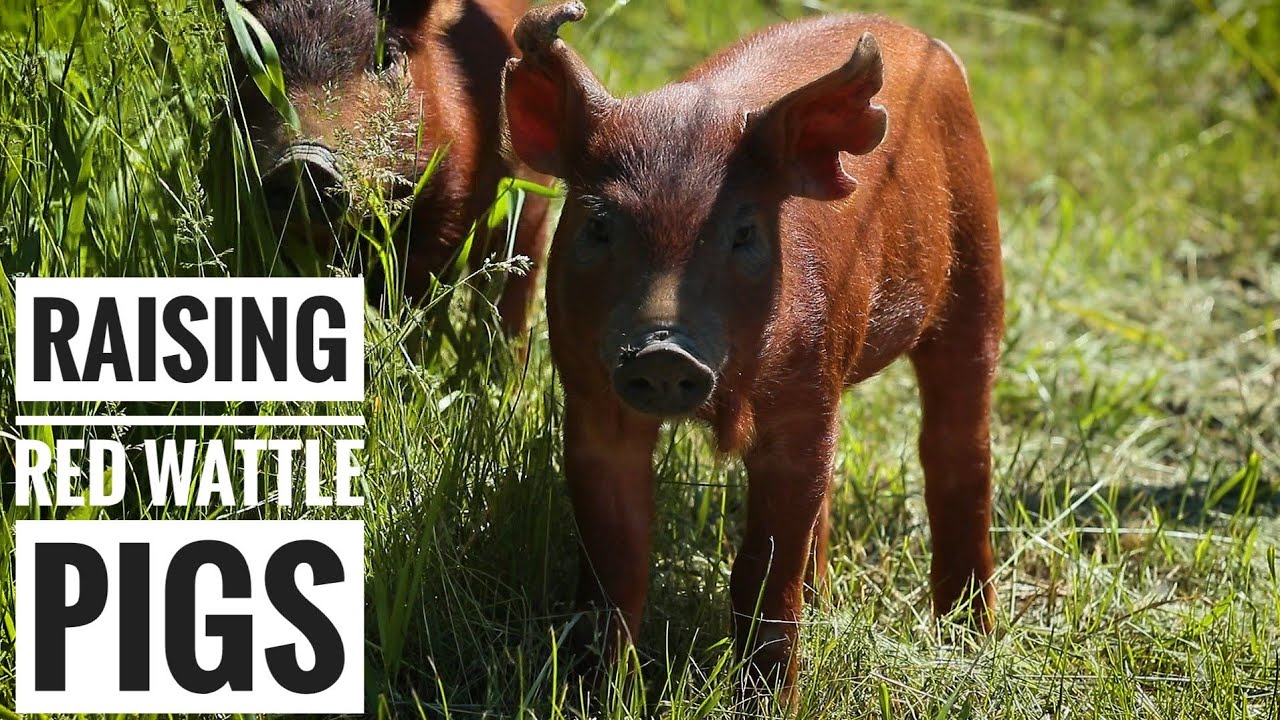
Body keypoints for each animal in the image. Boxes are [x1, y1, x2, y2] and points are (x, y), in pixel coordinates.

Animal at [503, 1, 1004, 699]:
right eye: (599, 223)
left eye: (743, 232)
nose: (663, 351)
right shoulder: (592, 398)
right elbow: (615, 567)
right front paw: (596, 693)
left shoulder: (802, 395)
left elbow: (762, 573)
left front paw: (769, 700)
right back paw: (829, 603)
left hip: (978, 267)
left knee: (959, 448)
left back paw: (970, 640)